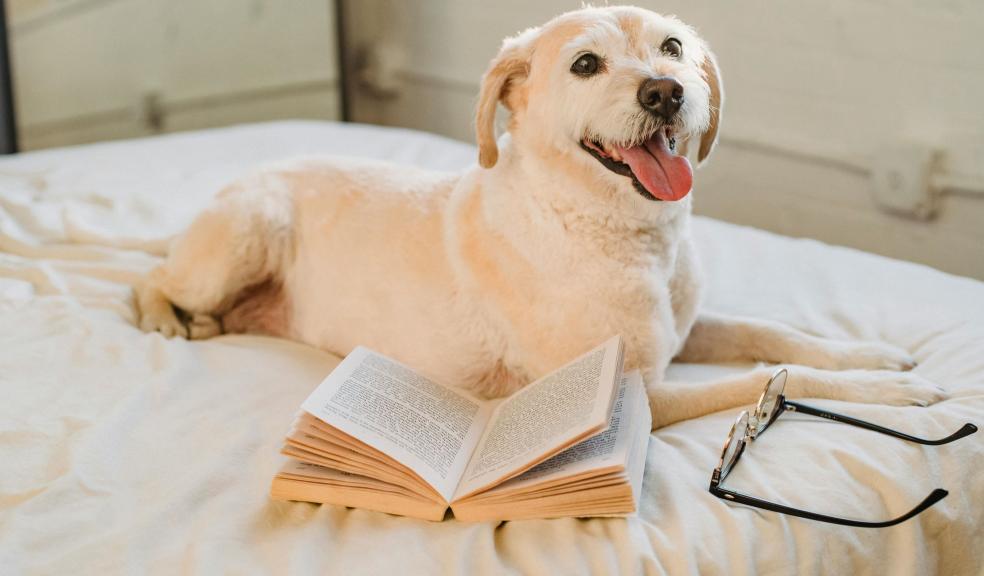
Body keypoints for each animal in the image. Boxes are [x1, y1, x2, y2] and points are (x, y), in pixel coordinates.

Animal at [138, 5, 944, 428]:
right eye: (585, 65)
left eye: (673, 47)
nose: (665, 91)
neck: (625, 235)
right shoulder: (638, 394)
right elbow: (764, 380)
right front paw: (889, 394)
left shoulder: (687, 332)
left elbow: (772, 335)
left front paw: (870, 355)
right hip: (247, 233)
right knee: (151, 278)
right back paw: (166, 315)